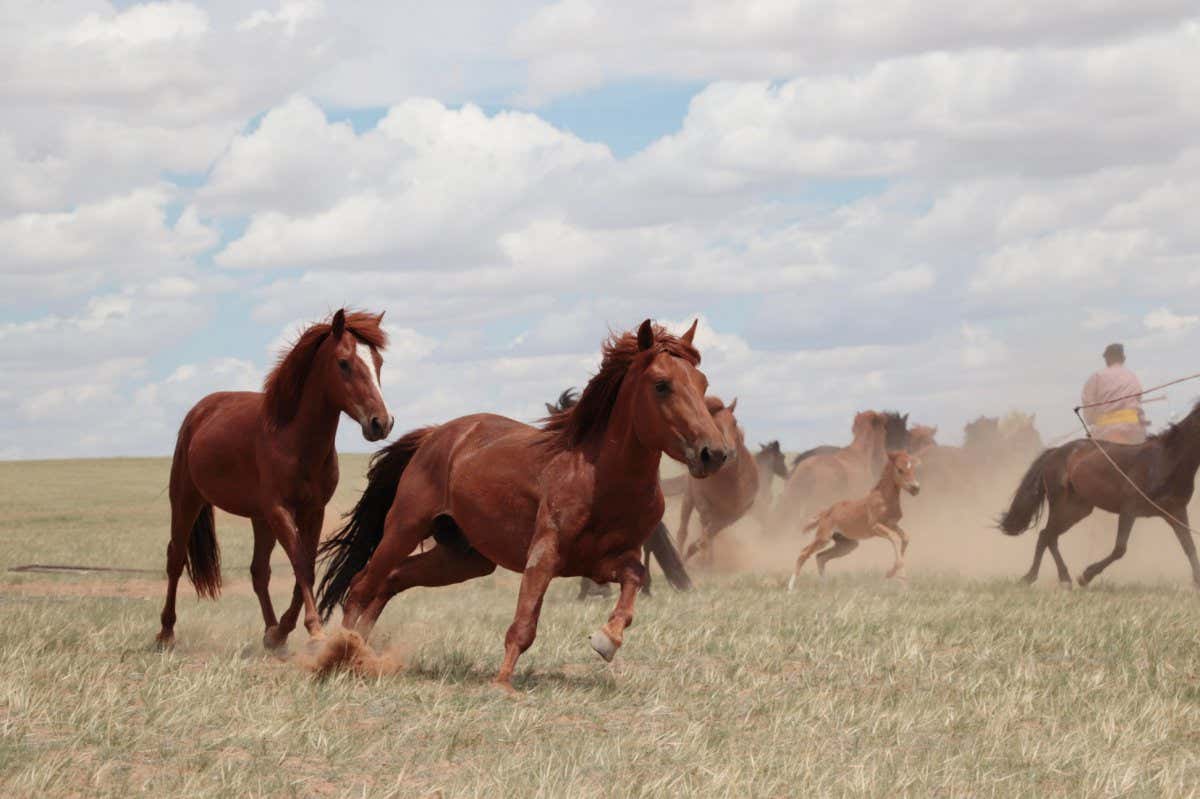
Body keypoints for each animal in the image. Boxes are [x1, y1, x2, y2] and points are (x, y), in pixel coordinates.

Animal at [155, 309, 392, 651]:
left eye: (379, 362)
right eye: (344, 363)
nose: (381, 423)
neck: (293, 439)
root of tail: (200, 411)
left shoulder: (312, 511)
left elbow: (306, 566)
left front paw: (283, 630)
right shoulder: (280, 510)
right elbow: (300, 563)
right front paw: (313, 630)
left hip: (259, 518)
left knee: (259, 572)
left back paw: (270, 632)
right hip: (187, 499)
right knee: (175, 559)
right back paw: (166, 633)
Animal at [787, 450, 921, 589]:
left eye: (913, 468)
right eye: (900, 470)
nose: (916, 488)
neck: (884, 499)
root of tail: (825, 513)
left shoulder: (892, 524)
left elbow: (905, 538)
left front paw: (894, 576)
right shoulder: (875, 526)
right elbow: (895, 538)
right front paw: (899, 578)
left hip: (847, 544)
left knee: (821, 557)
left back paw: (825, 586)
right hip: (824, 538)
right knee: (804, 553)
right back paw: (790, 588)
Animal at [998, 399, 1200, 588]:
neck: (1164, 462)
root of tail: (1055, 452)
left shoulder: (1176, 512)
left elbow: (1190, 548)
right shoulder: (1129, 509)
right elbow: (1120, 549)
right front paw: (1086, 576)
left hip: (1077, 510)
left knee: (1048, 536)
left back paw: (1061, 578)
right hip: (1061, 505)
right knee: (1046, 536)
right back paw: (1034, 577)